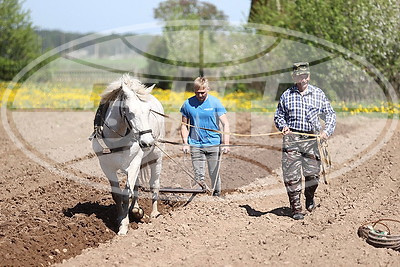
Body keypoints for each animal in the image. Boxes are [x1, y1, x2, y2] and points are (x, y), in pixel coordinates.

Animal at [92, 74, 164, 236]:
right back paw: (135, 208)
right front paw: (121, 217)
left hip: (156, 157)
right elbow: (118, 194)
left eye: (149, 111)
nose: (147, 141)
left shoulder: (134, 163)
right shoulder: (106, 166)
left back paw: (154, 213)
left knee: (154, 184)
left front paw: (124, 226)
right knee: (135, 185)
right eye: (129, 110)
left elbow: (126, 194)